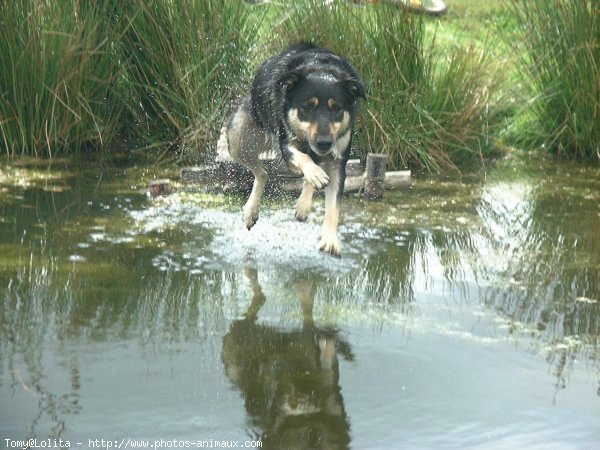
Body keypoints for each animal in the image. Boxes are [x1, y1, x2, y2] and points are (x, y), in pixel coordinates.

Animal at [223, 45, 366, 258]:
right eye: (308, 107)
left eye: (337, 108)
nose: (324, 143)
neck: (321, 69)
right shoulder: (286, 144)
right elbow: (303, 158)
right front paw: (313, 174)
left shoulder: (338, 161)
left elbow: (333, 205)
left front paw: (330, 240)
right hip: (239, 140)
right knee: (262, 173)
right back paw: (252, 211)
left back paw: (303, 205)